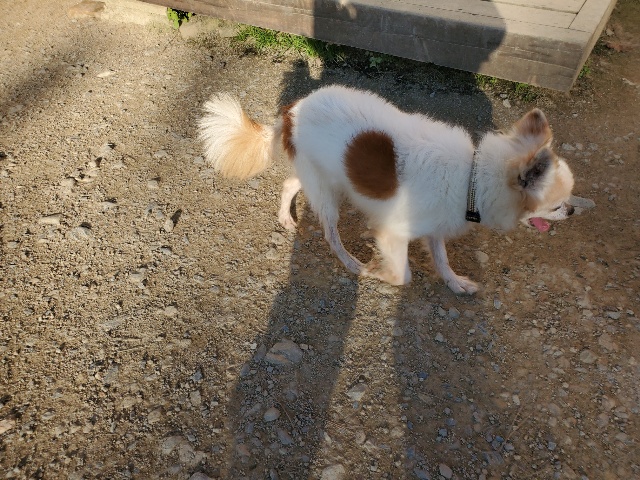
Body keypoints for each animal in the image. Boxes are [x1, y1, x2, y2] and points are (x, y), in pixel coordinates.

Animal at [198, 85, 574, 294]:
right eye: (558, 205)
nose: (574, 210)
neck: (473, 178)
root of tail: (291, 111)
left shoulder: (434, 226)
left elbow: (441, 258)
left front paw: (454, 282)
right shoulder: (393, 232)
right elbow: (402, 275)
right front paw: (377, 272)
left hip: (321, 176)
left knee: (290, 183)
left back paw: (286, 219)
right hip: (327, 192)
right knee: (330, 231)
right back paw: (350, 262)